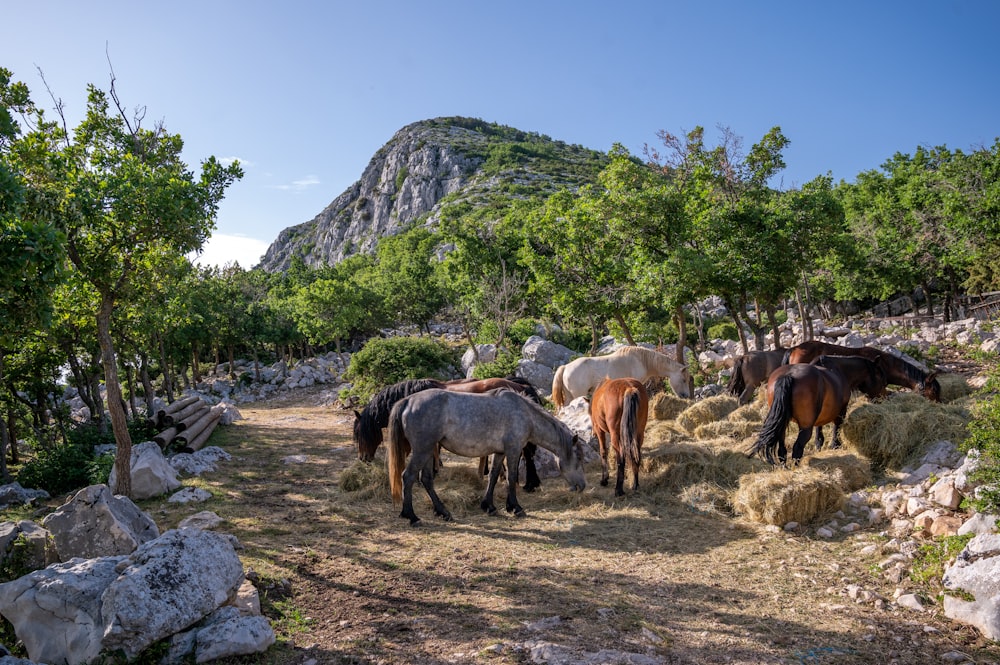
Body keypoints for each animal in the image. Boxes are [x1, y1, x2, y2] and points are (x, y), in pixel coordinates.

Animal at [384, 390, 584, 524]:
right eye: (579, 459)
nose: (582, 486)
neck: (525, 415)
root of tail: (408, 401)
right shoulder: (513, 450)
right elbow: (511, 477)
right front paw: (516, 508)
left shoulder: (500, 452)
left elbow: (494, 476)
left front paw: (490, 506)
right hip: (422, 450)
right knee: (408, 477)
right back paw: (411, 516)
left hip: (428, 451)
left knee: (426, 479)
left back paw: (443, 512)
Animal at [552, 344, 692, 408]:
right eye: (683, 380)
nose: (686, 396)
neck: (642, 360)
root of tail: (565, 367)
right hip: (578, 395)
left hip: (570, 397)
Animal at [748, 356, 888, 464]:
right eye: (881, 378)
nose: (884, 398)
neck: (840, 371)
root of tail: (788, 376)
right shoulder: (841, 412)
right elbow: (836, 430)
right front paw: (835, 446)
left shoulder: (819, 417)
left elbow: (819, 434)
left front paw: (819, 446)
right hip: (805, 427)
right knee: (797, 448)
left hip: (782, 424)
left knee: (781, 449)